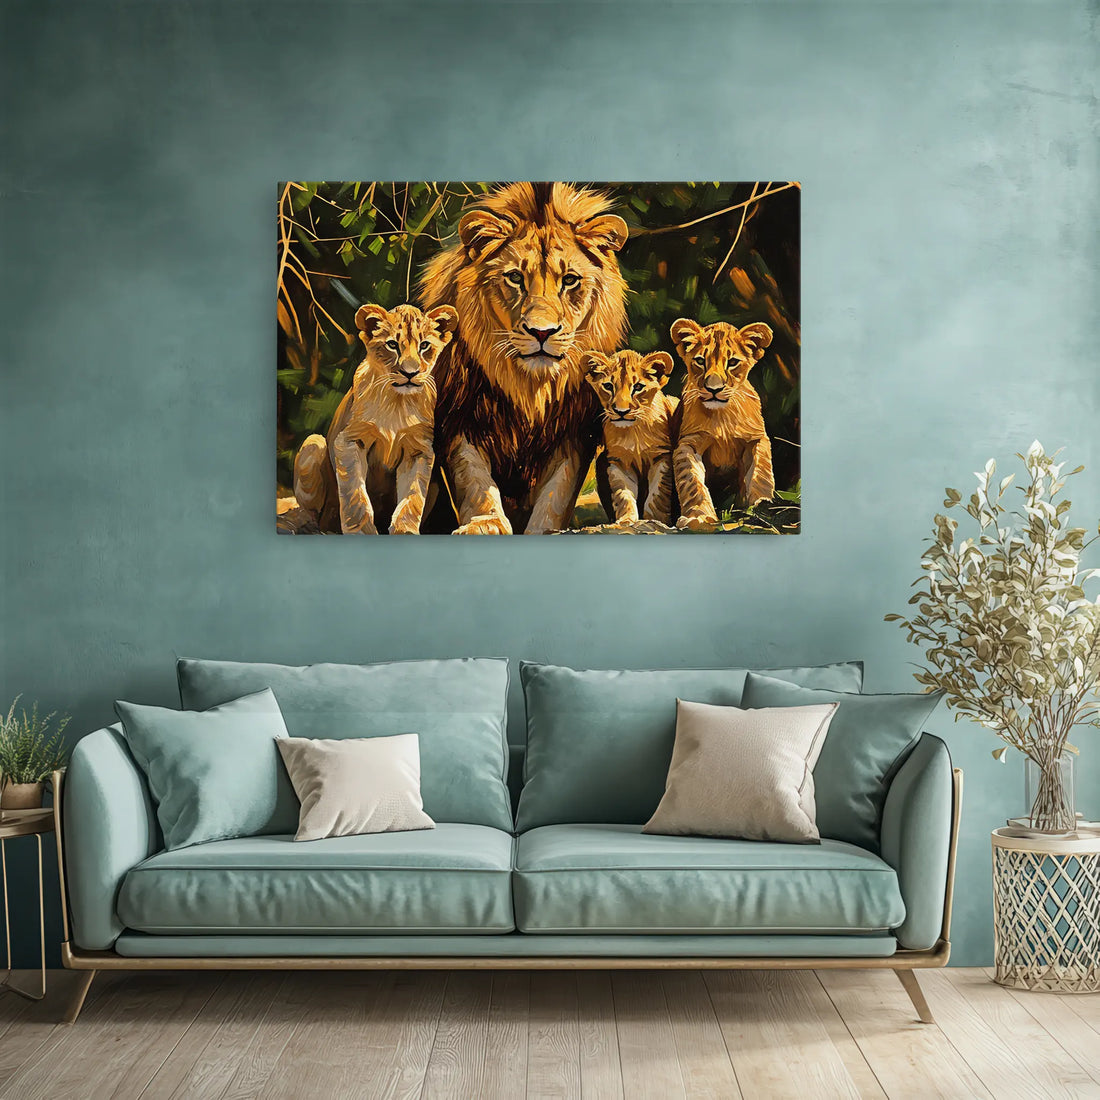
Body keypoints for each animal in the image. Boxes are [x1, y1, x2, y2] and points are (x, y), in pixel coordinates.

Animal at [293, 302, 458, 534]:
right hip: (313, 443)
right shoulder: (350, 440)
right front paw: (361, 531)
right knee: (313, 513)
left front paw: (405, 530)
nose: (410, 373)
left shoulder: (419, 449)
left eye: (424, 345)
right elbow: (355, 495)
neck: (397, 402)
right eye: (392, 345)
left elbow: (412, 498)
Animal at [419, 182, 629, 534]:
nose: (541, 332)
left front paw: (544, 529)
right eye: (515, 278)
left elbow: (557, 494)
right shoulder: (459, 418)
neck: (530, 386)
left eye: (569, 280)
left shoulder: (573, 432)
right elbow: (474, 482)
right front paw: (486, 523)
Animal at [584, 349, 679, 525]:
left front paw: (654, 520)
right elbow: (623, 495)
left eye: (638, 387)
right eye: (608, 386)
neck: (633, 431)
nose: (621, 412)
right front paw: (625, 520)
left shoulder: (661, 457)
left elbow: (657, 495)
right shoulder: (618, 462)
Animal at [670, 318, 775, 530]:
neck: (722, 416)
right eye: (700, 361)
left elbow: (761, 473)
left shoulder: (756, 439)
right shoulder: (688, 443)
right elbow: (692, 481)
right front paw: (699, 517)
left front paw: (762, 505)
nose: (714, 389)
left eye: (732, 362)